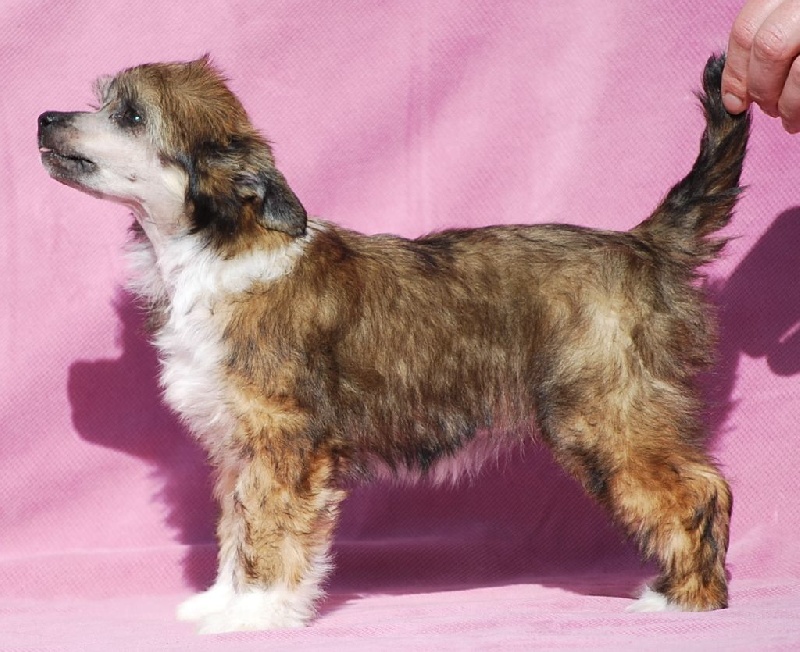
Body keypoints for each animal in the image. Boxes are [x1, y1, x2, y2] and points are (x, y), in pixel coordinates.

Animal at [38, 53, 748, 633]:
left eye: (130, 115)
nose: (44, 116)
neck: (214, 251)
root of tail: (643, 244)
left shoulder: (284, 442)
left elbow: (270, 529)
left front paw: (256, 614)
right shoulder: (241, 446)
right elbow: (238, 526)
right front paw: (225, 601)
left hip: (606, 415)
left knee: (701, 490)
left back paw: (686, 599)